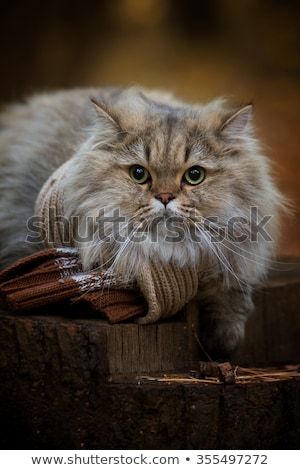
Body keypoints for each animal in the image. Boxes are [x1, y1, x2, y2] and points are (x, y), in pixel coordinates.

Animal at [0, 85, 284, 356]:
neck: (172, 253)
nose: (165, 197)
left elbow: (233, 293)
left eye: (194, 175)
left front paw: (223, 340)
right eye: (139, 174)